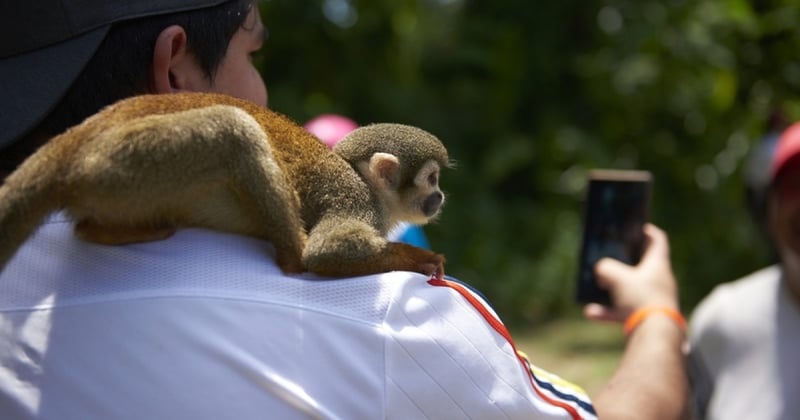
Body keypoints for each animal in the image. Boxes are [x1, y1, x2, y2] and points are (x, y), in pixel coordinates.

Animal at [0, 90, 450, 278]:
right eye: (431, 178)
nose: (440, 196)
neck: (366, 185)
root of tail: (73, 140)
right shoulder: (354, 198)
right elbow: (329, 251)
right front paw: (413, 257)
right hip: (125, 159)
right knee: (234, 127)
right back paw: (294, 258)